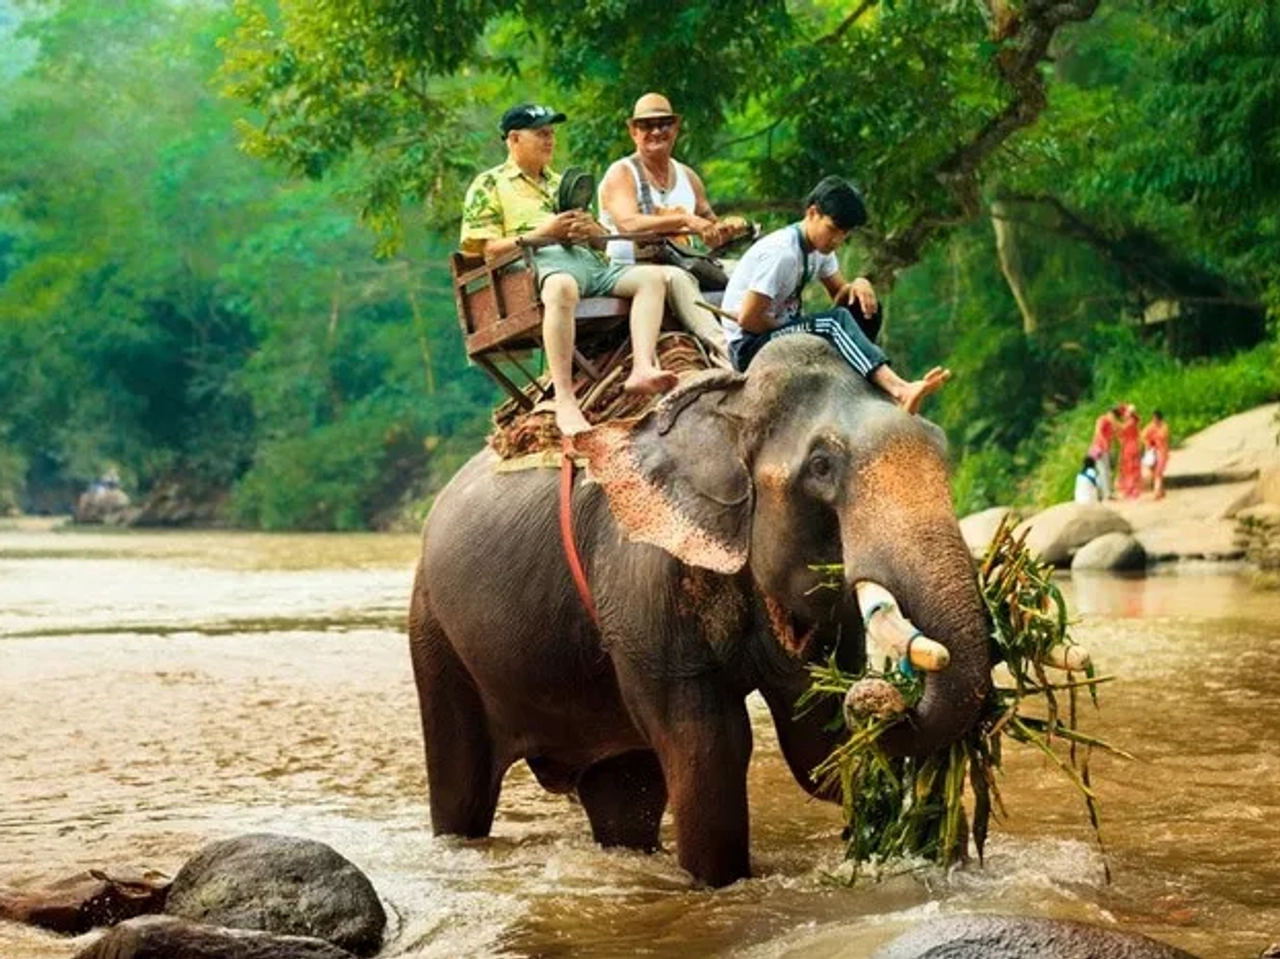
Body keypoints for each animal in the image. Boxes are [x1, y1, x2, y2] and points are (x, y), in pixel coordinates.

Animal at [408, 334, 992, 887]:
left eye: (941, 447)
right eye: (822, 466)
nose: (884, 693)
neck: (730, 405)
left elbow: (816, 746)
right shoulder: (642, 576)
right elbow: (711, 747)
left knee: (626, 797)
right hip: (434, 629)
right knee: (461, 785)